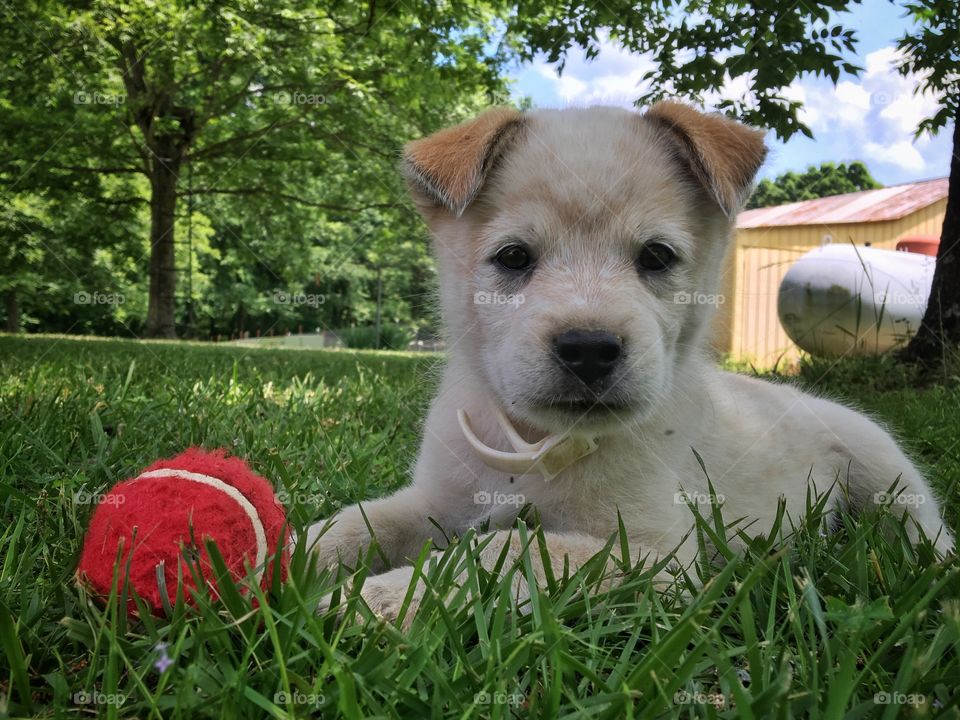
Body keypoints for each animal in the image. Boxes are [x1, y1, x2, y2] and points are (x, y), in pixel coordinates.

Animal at [306, 102, 952, 624]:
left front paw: (378, 598)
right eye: (513, 258)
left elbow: (501, 554)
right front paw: (301, 555)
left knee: (923, 533)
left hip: (887, 474)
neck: (536, 448)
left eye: (656, 257)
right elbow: (360, 520)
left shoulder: (655, 553)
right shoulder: (437, 501)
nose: (589, 348)